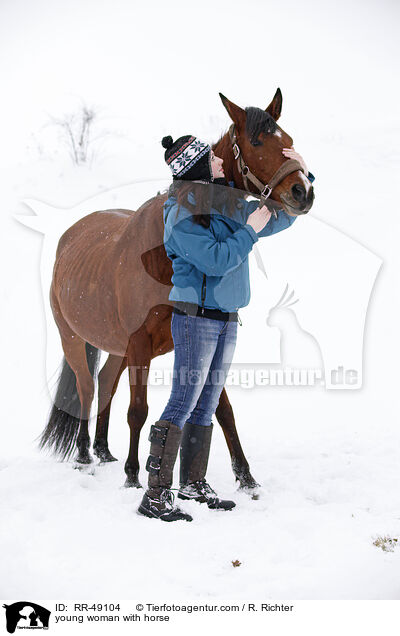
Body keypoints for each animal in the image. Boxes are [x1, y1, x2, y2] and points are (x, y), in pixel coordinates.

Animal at [39, 88, 316, 492]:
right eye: (257, 142)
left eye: (290, 141)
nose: (303, 191)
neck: (162, 252)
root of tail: (69, 237)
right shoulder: (141, 343)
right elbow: (138, 411)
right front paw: (133, 475)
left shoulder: (199, 342)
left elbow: (223, 411)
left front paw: (246, 478)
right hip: (73, 338)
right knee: (87, 388)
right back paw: (85, 454)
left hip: (118, 347)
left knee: (105, 383)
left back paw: (104, 451)